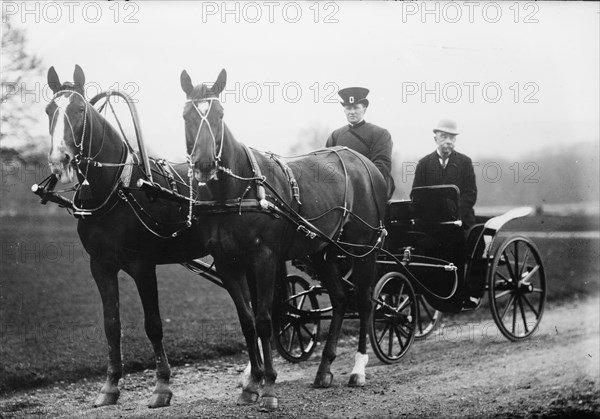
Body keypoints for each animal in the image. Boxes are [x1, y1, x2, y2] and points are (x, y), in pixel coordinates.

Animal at [44, 65, 209, 410]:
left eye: (79, 110)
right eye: (50, 109)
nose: (59, 159)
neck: (116, 189)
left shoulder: (143, 266)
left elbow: (153, 325)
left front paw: (162, 385)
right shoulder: (101, 267)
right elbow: (112, 326)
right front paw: (110, 386)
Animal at [179, 69, 390, 410]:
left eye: (220, 114)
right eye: (186, 115)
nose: (205, 165)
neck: (237, 191)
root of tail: (363, 162)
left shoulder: (264, 259)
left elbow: (266, 319)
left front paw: (268, 386)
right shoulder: (229, 263)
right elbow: (248, 321)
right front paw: (252, 382)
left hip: (362, 249)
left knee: (364, 299)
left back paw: (358, 368)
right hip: (323, 251)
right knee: (341, 298)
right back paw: (324, 368)